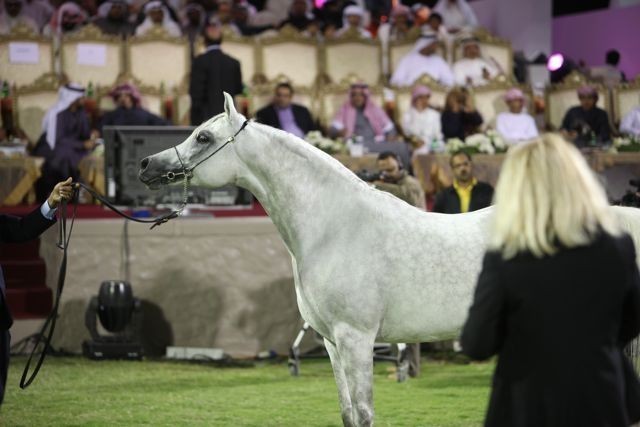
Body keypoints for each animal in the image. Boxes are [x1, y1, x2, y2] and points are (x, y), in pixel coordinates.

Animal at [139, 92, 640, 426]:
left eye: (204, 136)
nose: (145, 165)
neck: (335, 227)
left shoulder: (357, 338)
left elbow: (364, 413)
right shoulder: (331, 342)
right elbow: (348, 414)